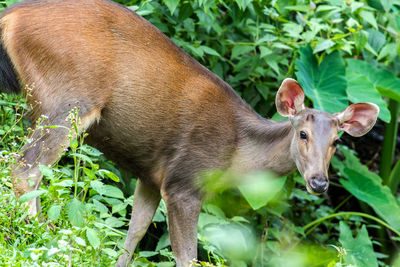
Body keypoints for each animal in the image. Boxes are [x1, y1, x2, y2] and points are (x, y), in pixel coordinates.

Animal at [0, 0, 380, 267]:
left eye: (336, 142)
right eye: (302, 134)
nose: (319, 182)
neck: (236, 154)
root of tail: (10, 17)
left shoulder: (152, 176)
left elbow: (133, 234)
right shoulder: (185, 182)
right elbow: (187, 257)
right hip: (68, 102)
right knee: (24, 170)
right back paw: (43, 241)